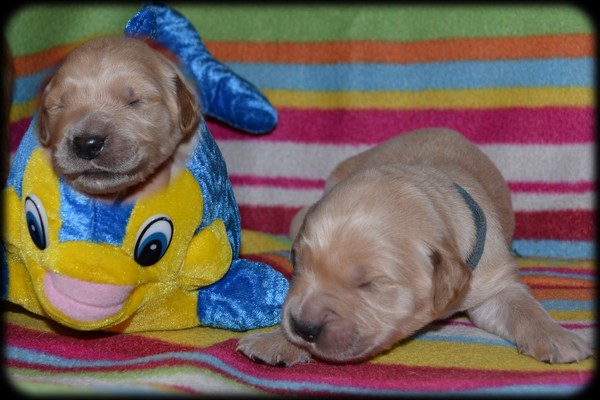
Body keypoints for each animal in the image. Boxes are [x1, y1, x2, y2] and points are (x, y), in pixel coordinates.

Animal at [237, 128, 593, 366]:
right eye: (296, 262)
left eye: (370, 284)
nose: (303, 327)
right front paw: (278, 341)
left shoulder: (493, 280)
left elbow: (524, 308)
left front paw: (558, 338)